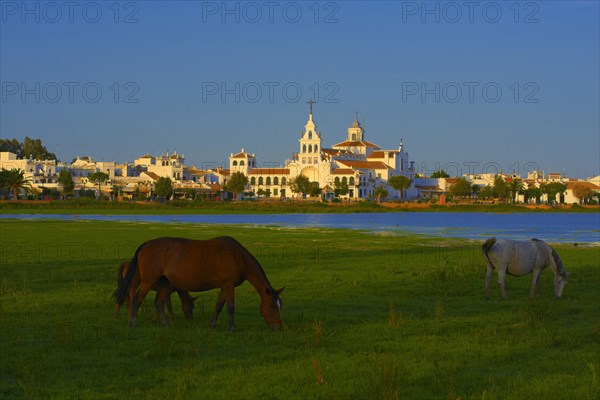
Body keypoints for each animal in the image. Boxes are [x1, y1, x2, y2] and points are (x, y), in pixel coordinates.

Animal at [118, 234, 288, 332]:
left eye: (280, 306)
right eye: (272, 306)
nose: (278, 326)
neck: (237, 257)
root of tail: (146, 245)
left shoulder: (224, 286)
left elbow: (219, 305)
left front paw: (212, 324)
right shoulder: (228, 285)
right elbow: (230, 307)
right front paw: (231, 328)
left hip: (166, 283)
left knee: (159, 302)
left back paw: (166, 324)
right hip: (148, 281)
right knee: (136, 299)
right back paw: (132, 323)